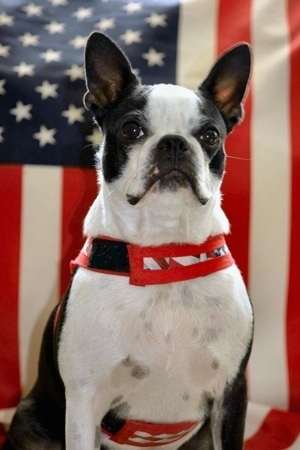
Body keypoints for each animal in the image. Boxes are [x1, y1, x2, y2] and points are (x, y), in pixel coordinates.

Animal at [4, 32, 253, 450]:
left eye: (209, 136)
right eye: (132, 129)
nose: (173, 142)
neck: (161, 256)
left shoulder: (231, 394)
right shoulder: (84, 402)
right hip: (29, 419)